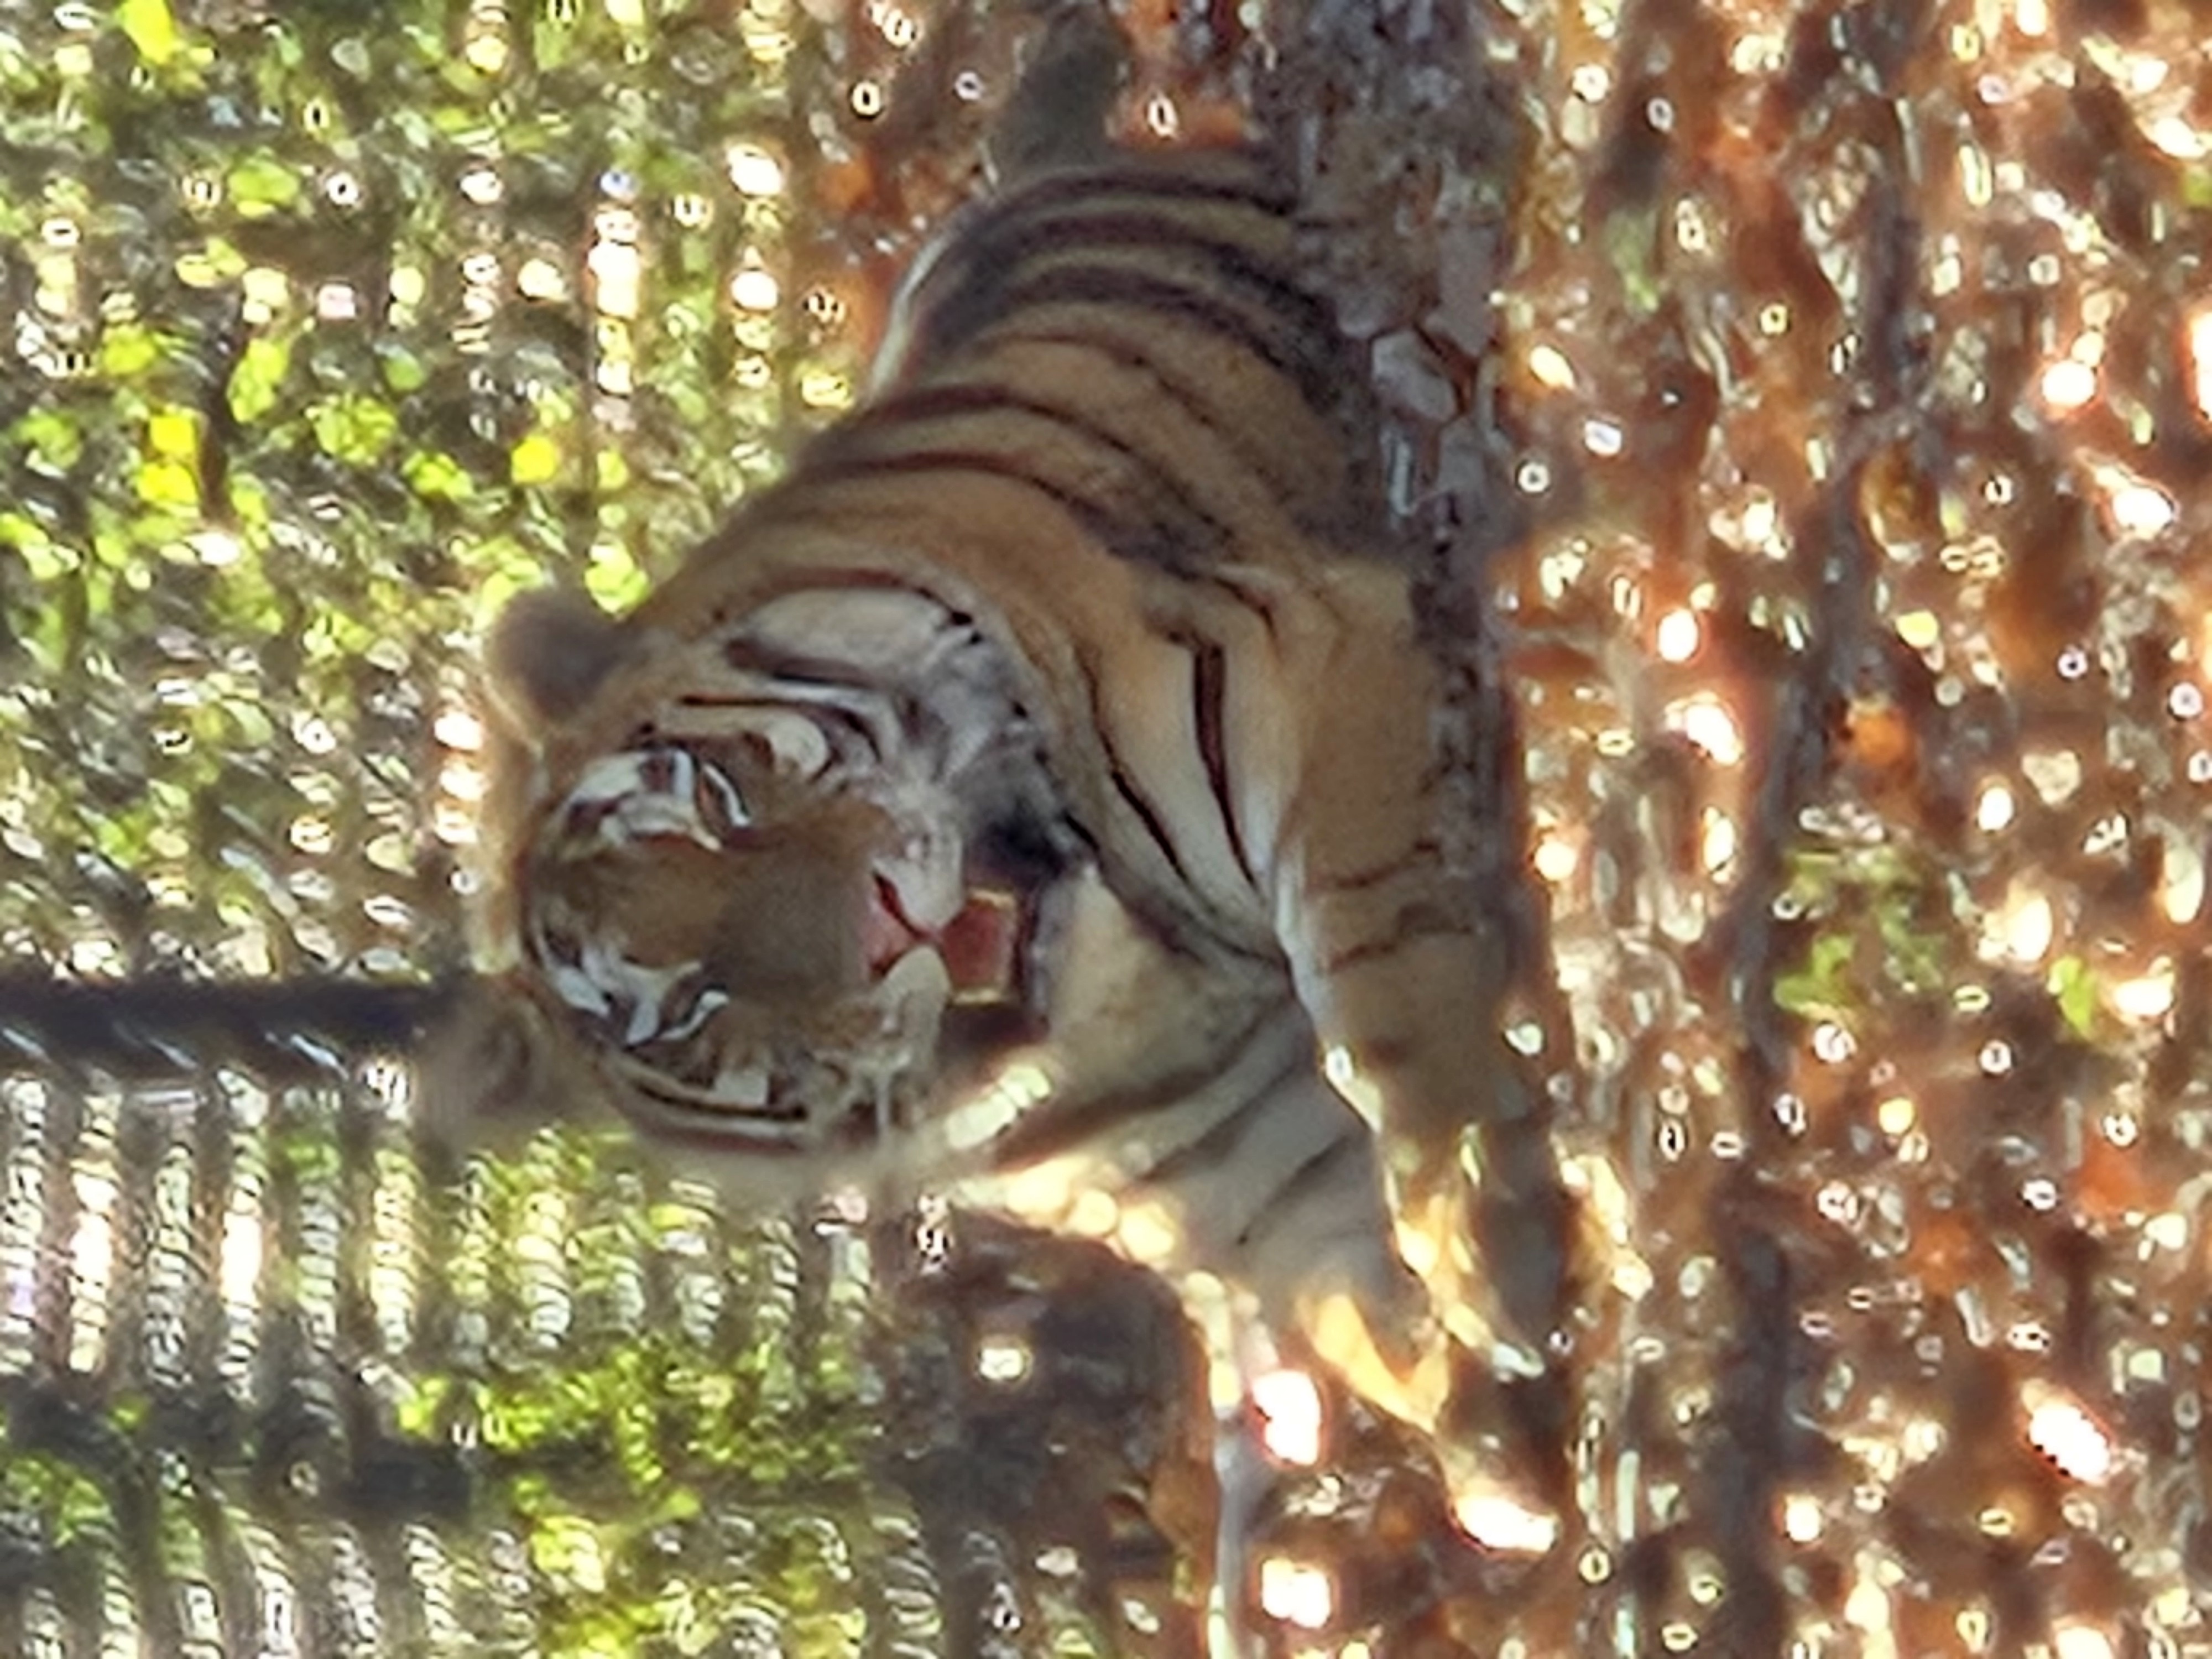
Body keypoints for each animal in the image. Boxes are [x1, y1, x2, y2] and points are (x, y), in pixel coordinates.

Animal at [452, 14, 1565, 1649]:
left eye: (720, 809)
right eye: (687, 1013)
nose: (884, 926)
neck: (1115, 1000)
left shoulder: (1298, 666)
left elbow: (1383, 1013)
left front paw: (1495, 1255)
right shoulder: (1243, 1169)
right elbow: (1357, 1308)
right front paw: (1509, 1445)